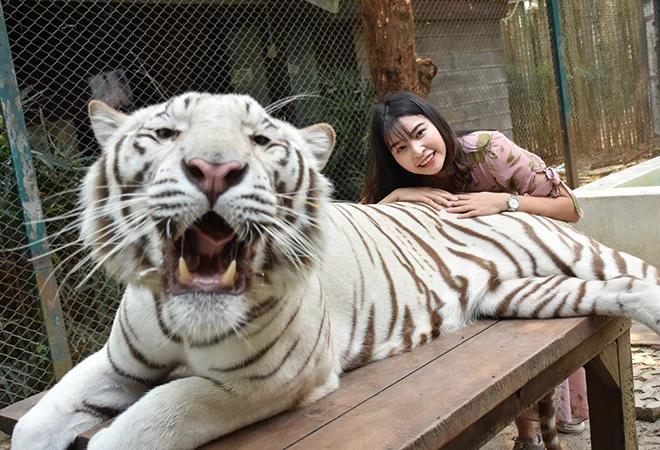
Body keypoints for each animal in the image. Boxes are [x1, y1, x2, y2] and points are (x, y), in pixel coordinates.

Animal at [12, 92, 660, 450]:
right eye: (163, 134)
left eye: (263, 141)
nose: (216, 168)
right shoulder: (119, 362)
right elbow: (33, 423)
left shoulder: (269, 378)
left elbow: (157, 417)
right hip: (525, 294)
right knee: (623, 289)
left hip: (576, 252)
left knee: (640, 271)